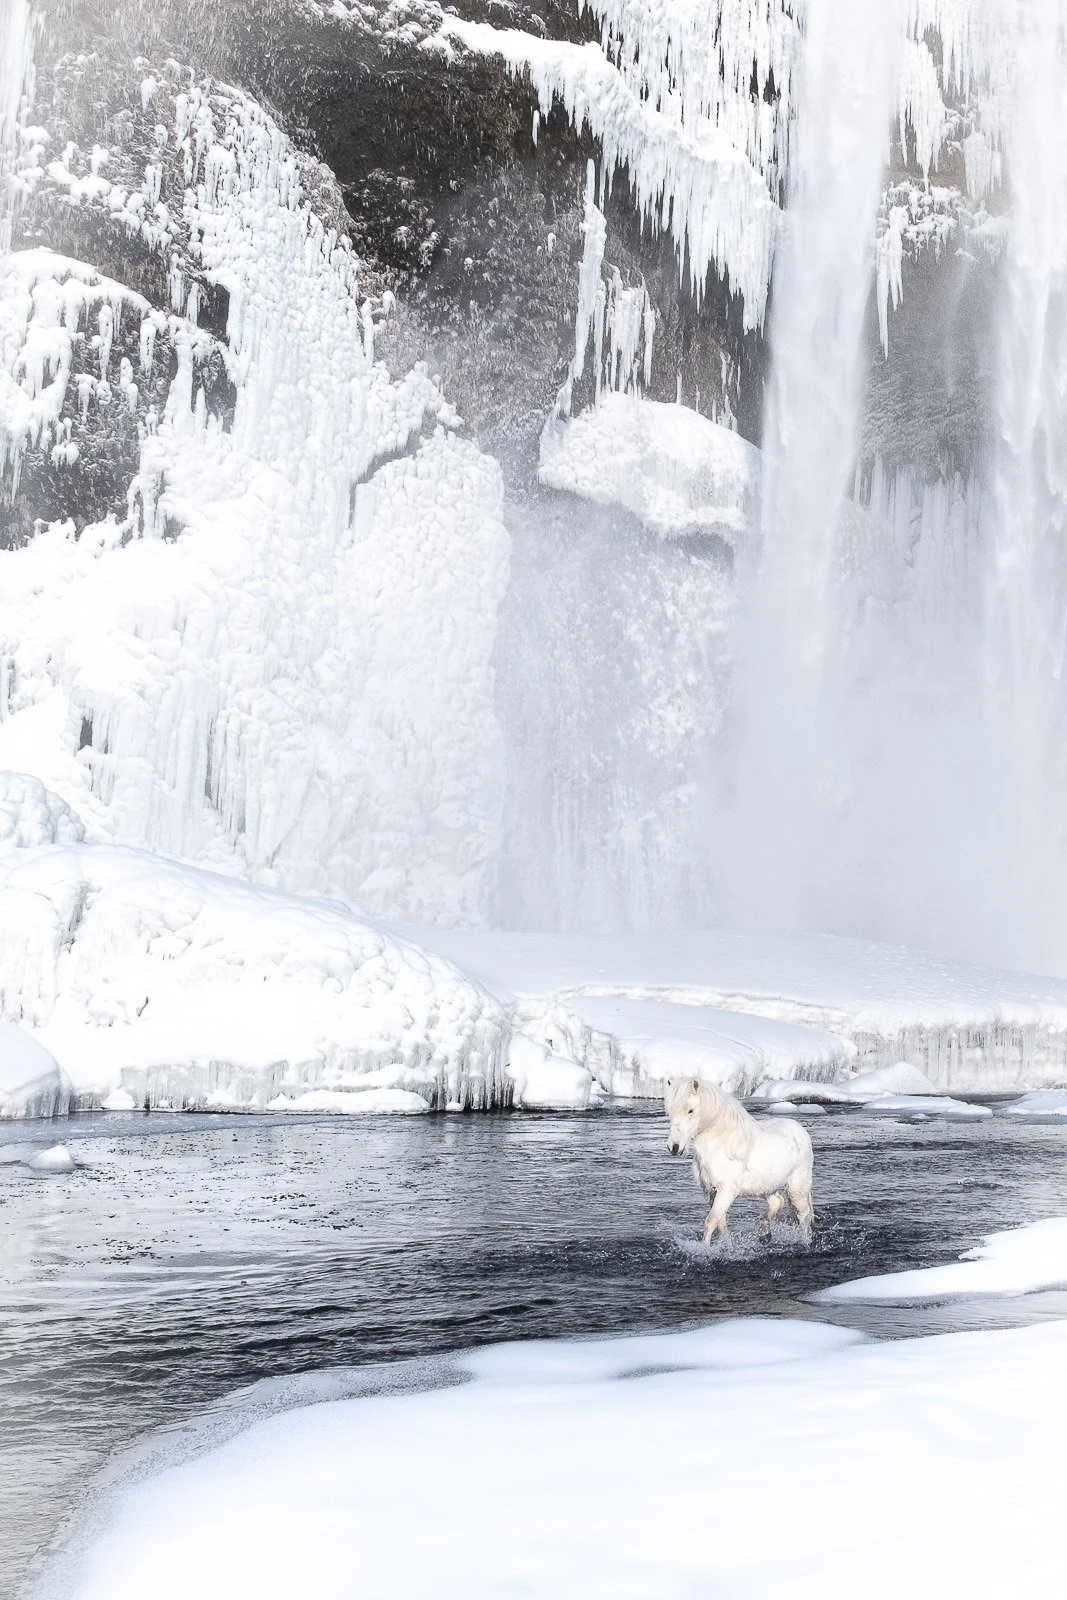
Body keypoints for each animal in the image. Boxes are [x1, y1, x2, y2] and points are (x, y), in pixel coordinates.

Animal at [665, 1077, 815, 1243]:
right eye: (670, 1111)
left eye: (690, 1110)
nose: (674, 1147)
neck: (722, 1144)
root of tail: (800, 1130)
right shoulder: (712, 1191)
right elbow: (721, 1224)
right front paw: (728, 1247)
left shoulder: (727, 1190)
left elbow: (711, 1222)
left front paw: (704, 1248)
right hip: (767, 1186)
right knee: (778, 1202)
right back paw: (765, 1234)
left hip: (797, 1188)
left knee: (804, 1216)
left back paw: (804, 1242)